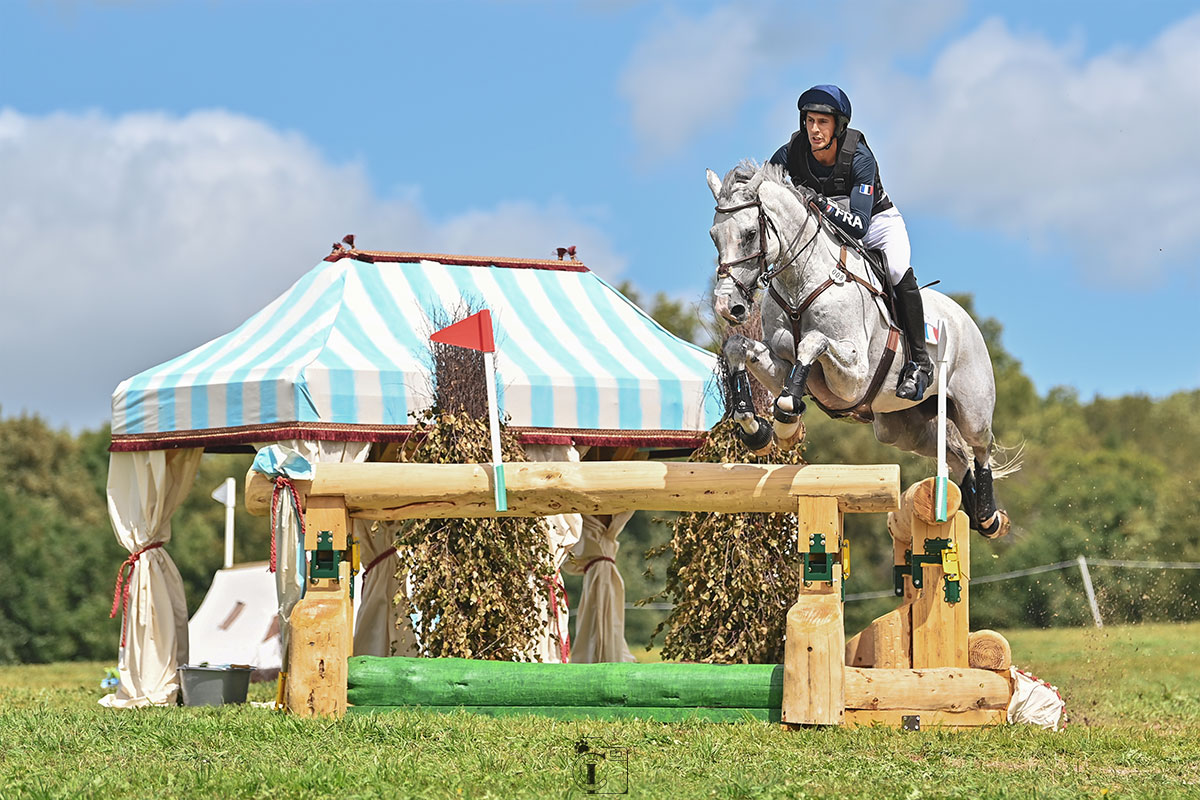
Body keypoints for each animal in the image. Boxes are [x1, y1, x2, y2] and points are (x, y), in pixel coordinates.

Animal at [700, 161, 1012, 537]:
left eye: (748, 234)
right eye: (714, 236)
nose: (726, 306)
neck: (800, 280)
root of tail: (964, 318)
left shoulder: (855, 376)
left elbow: (812, 343)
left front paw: (787, 420)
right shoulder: (780, 362)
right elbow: (738, 347)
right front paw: (758, 428)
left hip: (972, 410)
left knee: (980, 448)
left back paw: (989, 517)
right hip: (900, 429)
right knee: (955, 455)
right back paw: (968, 504)